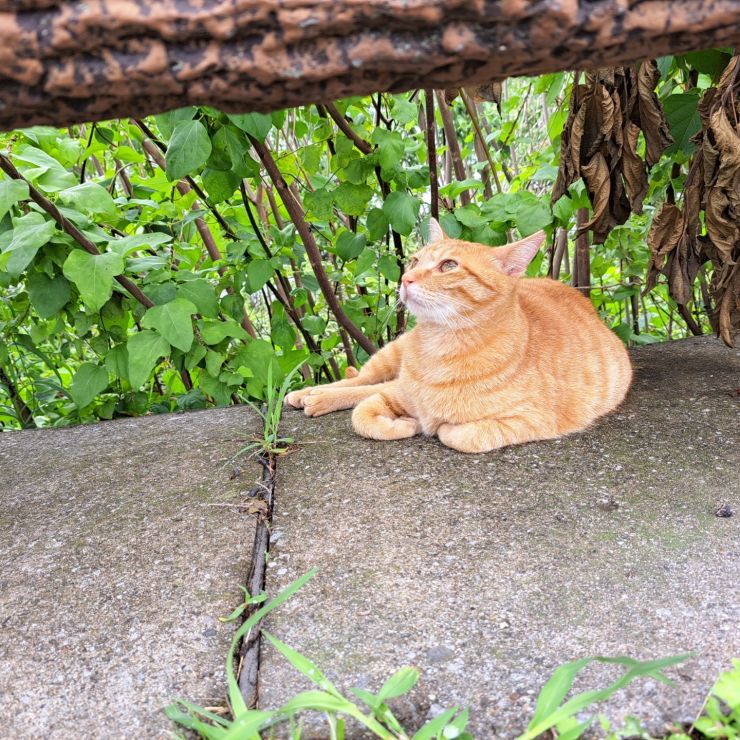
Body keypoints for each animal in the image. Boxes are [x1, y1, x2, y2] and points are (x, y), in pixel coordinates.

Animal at [286, 217, 632, 454]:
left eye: (448, 265)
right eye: (414, 260)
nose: (406, 279)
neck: (440, 349)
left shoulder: (532, 421)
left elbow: (458, 434)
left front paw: (426, 424)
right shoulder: (396, 392)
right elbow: (362, 414)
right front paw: (404, 423)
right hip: (391, 354)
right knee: (361, 380)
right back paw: (310, 394)